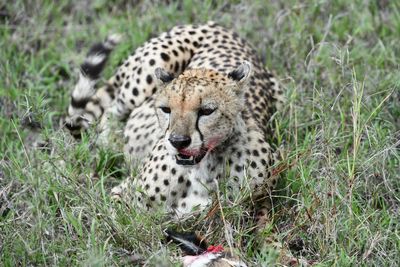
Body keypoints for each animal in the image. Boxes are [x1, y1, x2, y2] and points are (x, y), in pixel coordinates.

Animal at [65, 22, 282, 219]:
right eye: (166, 109)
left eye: (207, 111)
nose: (178, 141)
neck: (204, 169)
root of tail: (221, 27)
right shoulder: (124, 194)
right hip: (147, 76)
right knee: (111, 110)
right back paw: (108, 147)